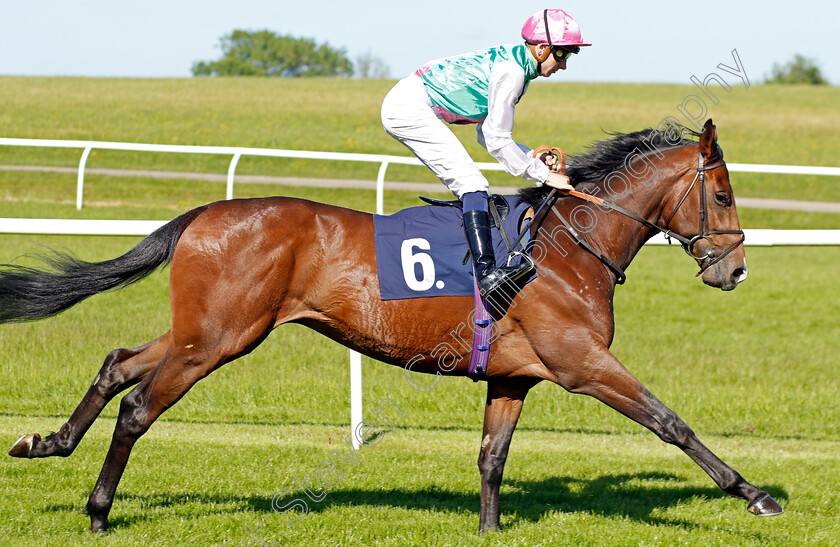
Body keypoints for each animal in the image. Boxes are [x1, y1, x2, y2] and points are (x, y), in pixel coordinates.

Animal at [3, 119, 784, 532]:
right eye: (721, 193)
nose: (736, 269)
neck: (564, 250)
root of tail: (204, 213)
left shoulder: (514, 375)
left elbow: (492, 455)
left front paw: (490, 528)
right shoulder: (580, 363)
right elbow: (670, 420)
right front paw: (754, 493)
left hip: (204, 330)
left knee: (118, 362)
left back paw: (46, 442)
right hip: (219, 338)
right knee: (139, 404)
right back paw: (99, 509)